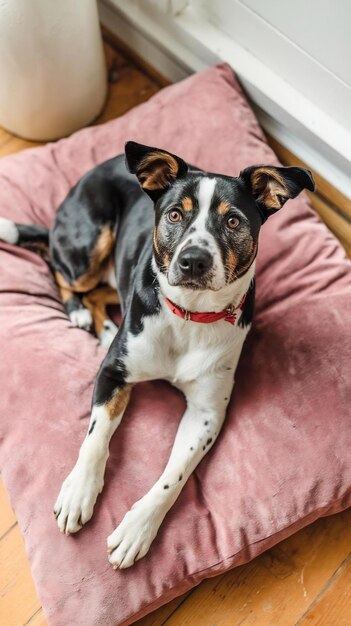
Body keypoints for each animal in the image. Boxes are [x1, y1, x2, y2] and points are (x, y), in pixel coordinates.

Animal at [0, 140, 316, 564]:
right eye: (174, 214)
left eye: (233, 222)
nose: (193, 260)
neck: (189, 313)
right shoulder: (113, 373)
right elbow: (96, 436)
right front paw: (79, 490)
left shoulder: (206, 414)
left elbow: (173, 476)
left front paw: (138, 528)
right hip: (88, 249)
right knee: (60, 271)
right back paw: (81, 313)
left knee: (100, 288)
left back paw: (102, 323)